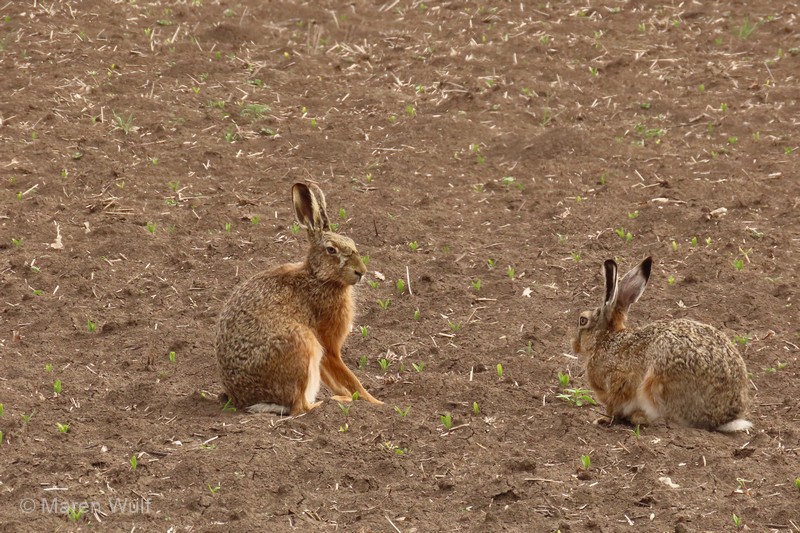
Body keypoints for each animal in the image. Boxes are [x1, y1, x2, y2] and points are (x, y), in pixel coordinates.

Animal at [215, 182, 383, 415]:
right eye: (331, 250)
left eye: (352, 243)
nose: (361, 271)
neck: (318, 277)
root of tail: (244, 400)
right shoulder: (327, 345)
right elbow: (350, 378)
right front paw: (376, 403)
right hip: (303, 344)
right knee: (300, 407)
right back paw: (334, 402)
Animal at [571, 256, 751, 432]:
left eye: (582, 320)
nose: (574, 345)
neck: (605, 339)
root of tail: (725, 417)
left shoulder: (617, 383)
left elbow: (614, 404)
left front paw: (603, 420)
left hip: (657, 382)